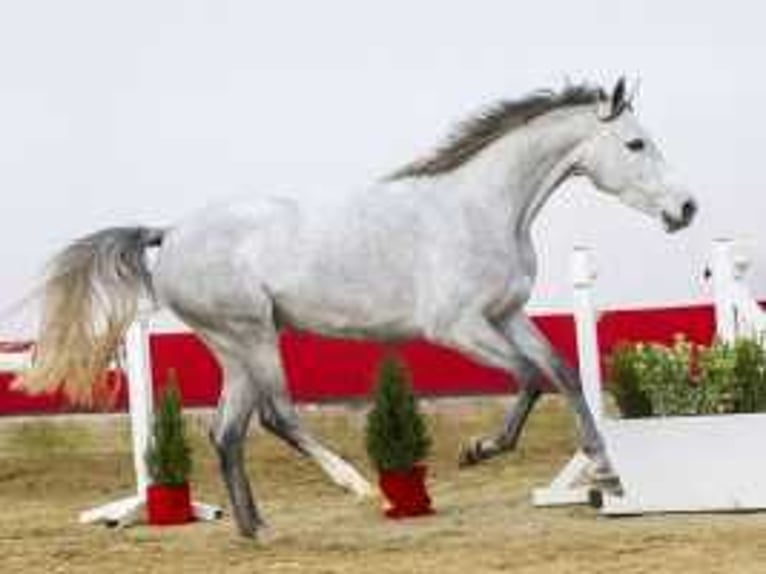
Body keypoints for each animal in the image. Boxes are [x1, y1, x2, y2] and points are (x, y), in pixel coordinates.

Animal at [15, 79, 700, 536]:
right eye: (636, 144)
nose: (687, 209)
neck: (483, 209)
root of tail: (172, 233)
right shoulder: (459, 327)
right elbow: (531, 378)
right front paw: (478, 450)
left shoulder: (507, 316)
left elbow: (562, 373)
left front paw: (606, 474)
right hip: (251, 334)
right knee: (277, 416)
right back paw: (360, 487)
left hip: (233, 346)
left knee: (227, 431)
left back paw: (255, 528)